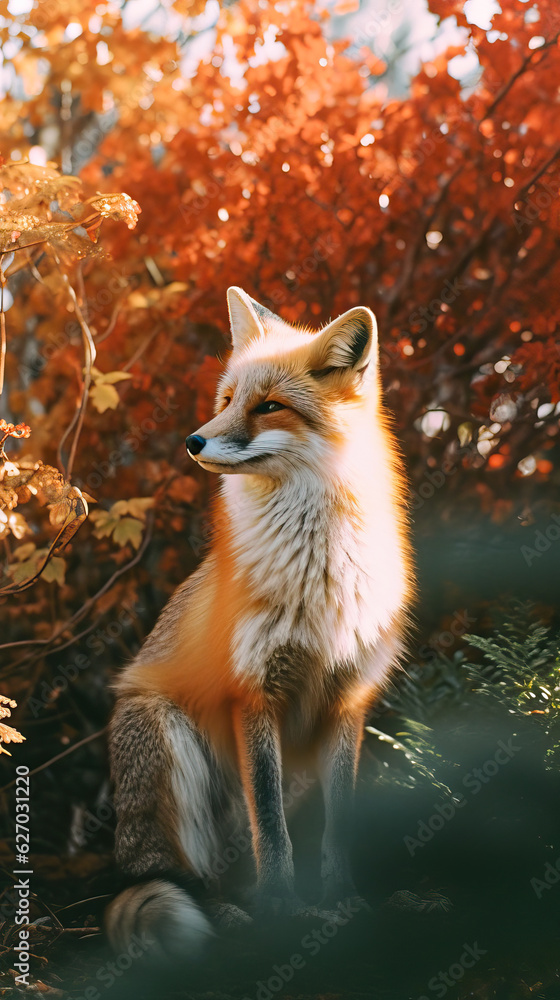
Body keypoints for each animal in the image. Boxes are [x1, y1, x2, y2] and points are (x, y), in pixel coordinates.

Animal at [106, 286, 413, 961]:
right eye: (226, 400)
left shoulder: (348, 699)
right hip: (164, 734)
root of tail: (123, 863)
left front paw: (342, 902)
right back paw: (230, 917)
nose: (193, 441)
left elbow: (338, 827)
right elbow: (270, 829)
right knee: (189, 874)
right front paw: (282, 913)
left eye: (270, 407)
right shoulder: (252, 693)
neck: (318, 575)